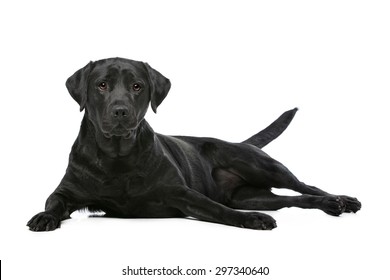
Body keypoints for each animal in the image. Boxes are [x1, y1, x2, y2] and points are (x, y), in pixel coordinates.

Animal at [27, 58, 362, 231]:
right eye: (101, 85)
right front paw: (44, 217)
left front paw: (250, 220)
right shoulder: (67, 192)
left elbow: (215, 208)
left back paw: (341, 200)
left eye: (137, 86)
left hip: (259, 165)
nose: (120, 111)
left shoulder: (182, 193)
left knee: (306, 186)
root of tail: (238, 142)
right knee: (294, 199)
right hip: (252, 195)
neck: (117, 157)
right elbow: (53, 202)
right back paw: (328, 205)